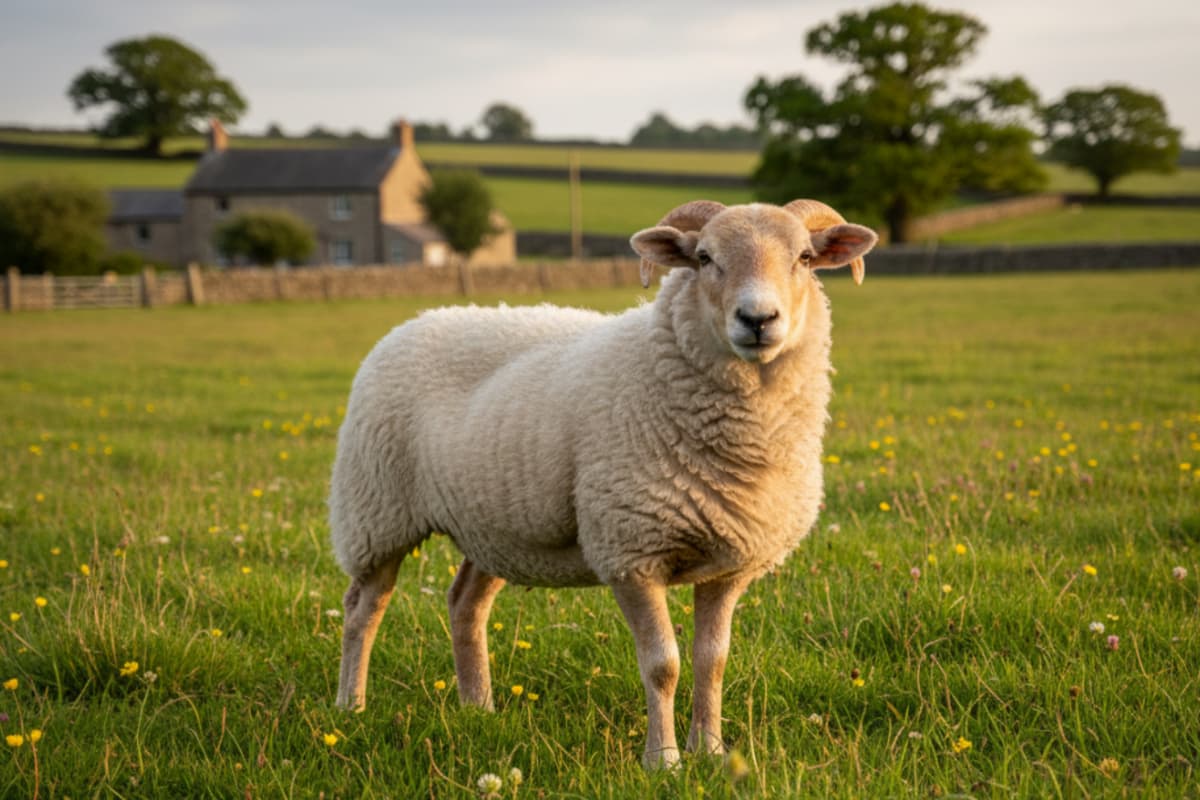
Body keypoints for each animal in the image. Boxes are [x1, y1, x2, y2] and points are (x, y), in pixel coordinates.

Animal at [329, 198, 877, 768]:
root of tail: (416, 320)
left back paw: (477, 707)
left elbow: (713, 660)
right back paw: (352, 705)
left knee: (465, 603)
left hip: (493, 525)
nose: (758, 319)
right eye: (704, 257)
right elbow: (663, 664)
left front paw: (710, 750)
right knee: (362, 607)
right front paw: (664, 760)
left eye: (805, 257)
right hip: (375, 511)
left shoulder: (730, 564)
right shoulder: (630, 554)